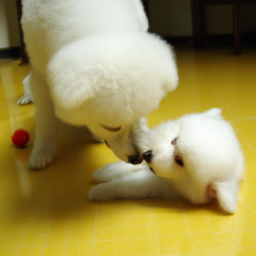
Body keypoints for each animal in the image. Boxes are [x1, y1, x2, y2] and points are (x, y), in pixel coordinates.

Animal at [21, 0, 178, 170]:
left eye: (142, 115)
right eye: (110, 127)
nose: (138, 158)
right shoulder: (41, 73)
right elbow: (46, 120)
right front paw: (42, 151)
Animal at [89, 108, 245, 214]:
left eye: (179, 161)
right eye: (174, 141)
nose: (148, 155)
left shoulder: (153, 183)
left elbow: (124, 184)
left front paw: (99, 191)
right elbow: (125, 168)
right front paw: (104, 172)